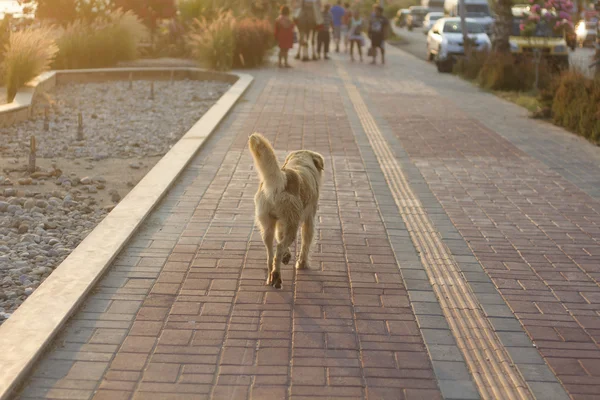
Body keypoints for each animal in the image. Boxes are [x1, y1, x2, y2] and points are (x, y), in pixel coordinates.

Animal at [247, 134, 326, 288]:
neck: (300, 162)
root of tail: (279, 180)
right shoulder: (308, 219)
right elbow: (306, 242)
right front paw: (302, 263)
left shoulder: (280, 223)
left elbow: (279, 236)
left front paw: (287, 256)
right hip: (292, 225)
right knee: (279, 248)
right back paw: (277, 278)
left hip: (268, 225)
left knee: (271, 253)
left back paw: (271, 276)